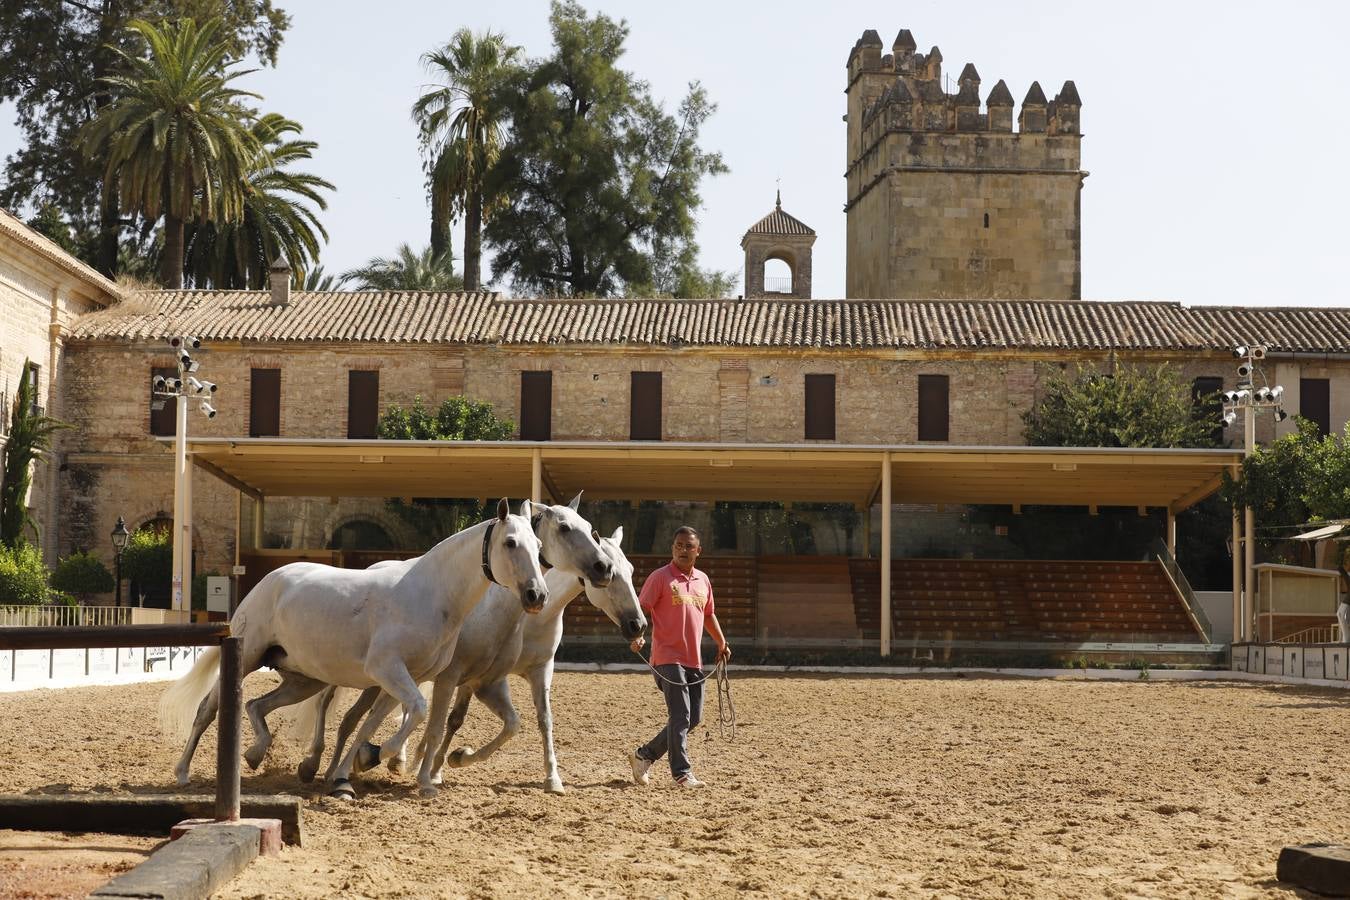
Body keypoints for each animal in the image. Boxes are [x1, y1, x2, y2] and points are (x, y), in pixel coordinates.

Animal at [159, 499, 553, 793]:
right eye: (510, 543)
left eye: (538, 547)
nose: (537, 596)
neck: (432, 594)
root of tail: (268, 580)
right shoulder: (387, 669)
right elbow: (418, 711)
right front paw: (380, 756)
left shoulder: (403, 679)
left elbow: (372, 723)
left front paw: (353, 769)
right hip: (248, 657)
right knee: (208, 709)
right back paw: (183, 772)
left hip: (304, 679)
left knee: (257, 705)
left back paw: (257, 754)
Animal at [302, 528, 648, 793]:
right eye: (613, 577)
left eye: (631, 571)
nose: (638, 625)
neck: (528, 618)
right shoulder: (468, 678)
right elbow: (451, 720)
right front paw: (434, 768)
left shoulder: (528, 673)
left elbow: (536, 721)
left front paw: (552, 779)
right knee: (332, 704)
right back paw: (318, 764)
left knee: (366, 714)